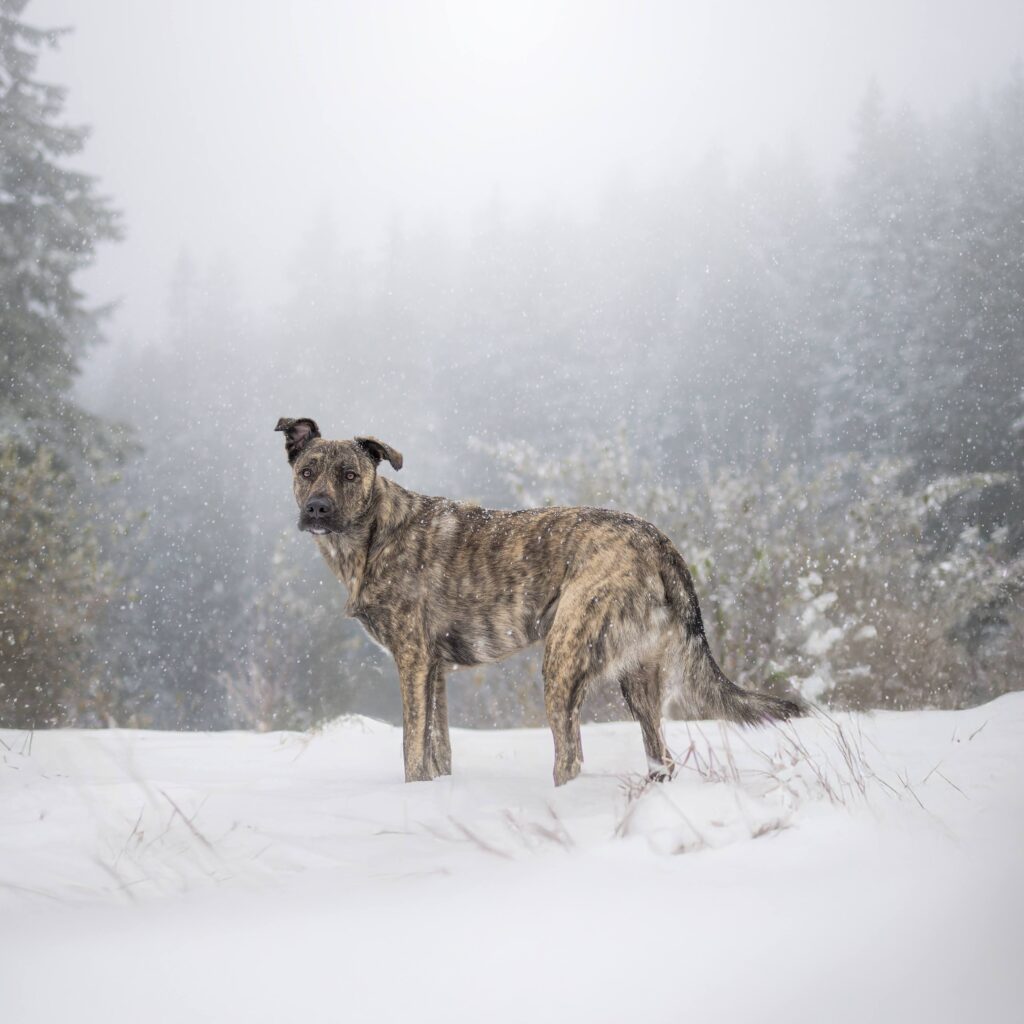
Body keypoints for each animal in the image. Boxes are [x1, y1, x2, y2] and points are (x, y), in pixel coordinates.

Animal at [276, 415, 802, 782]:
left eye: (349, 474)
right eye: (307, 471)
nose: (317, 509)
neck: (373, 536)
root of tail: (658, 540)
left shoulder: (412, 661)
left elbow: (412, 749)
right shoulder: (435, 671)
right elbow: (438, 749)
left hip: (563, 661)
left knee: (570, 758)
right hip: (638, 679)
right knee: (661, 759)